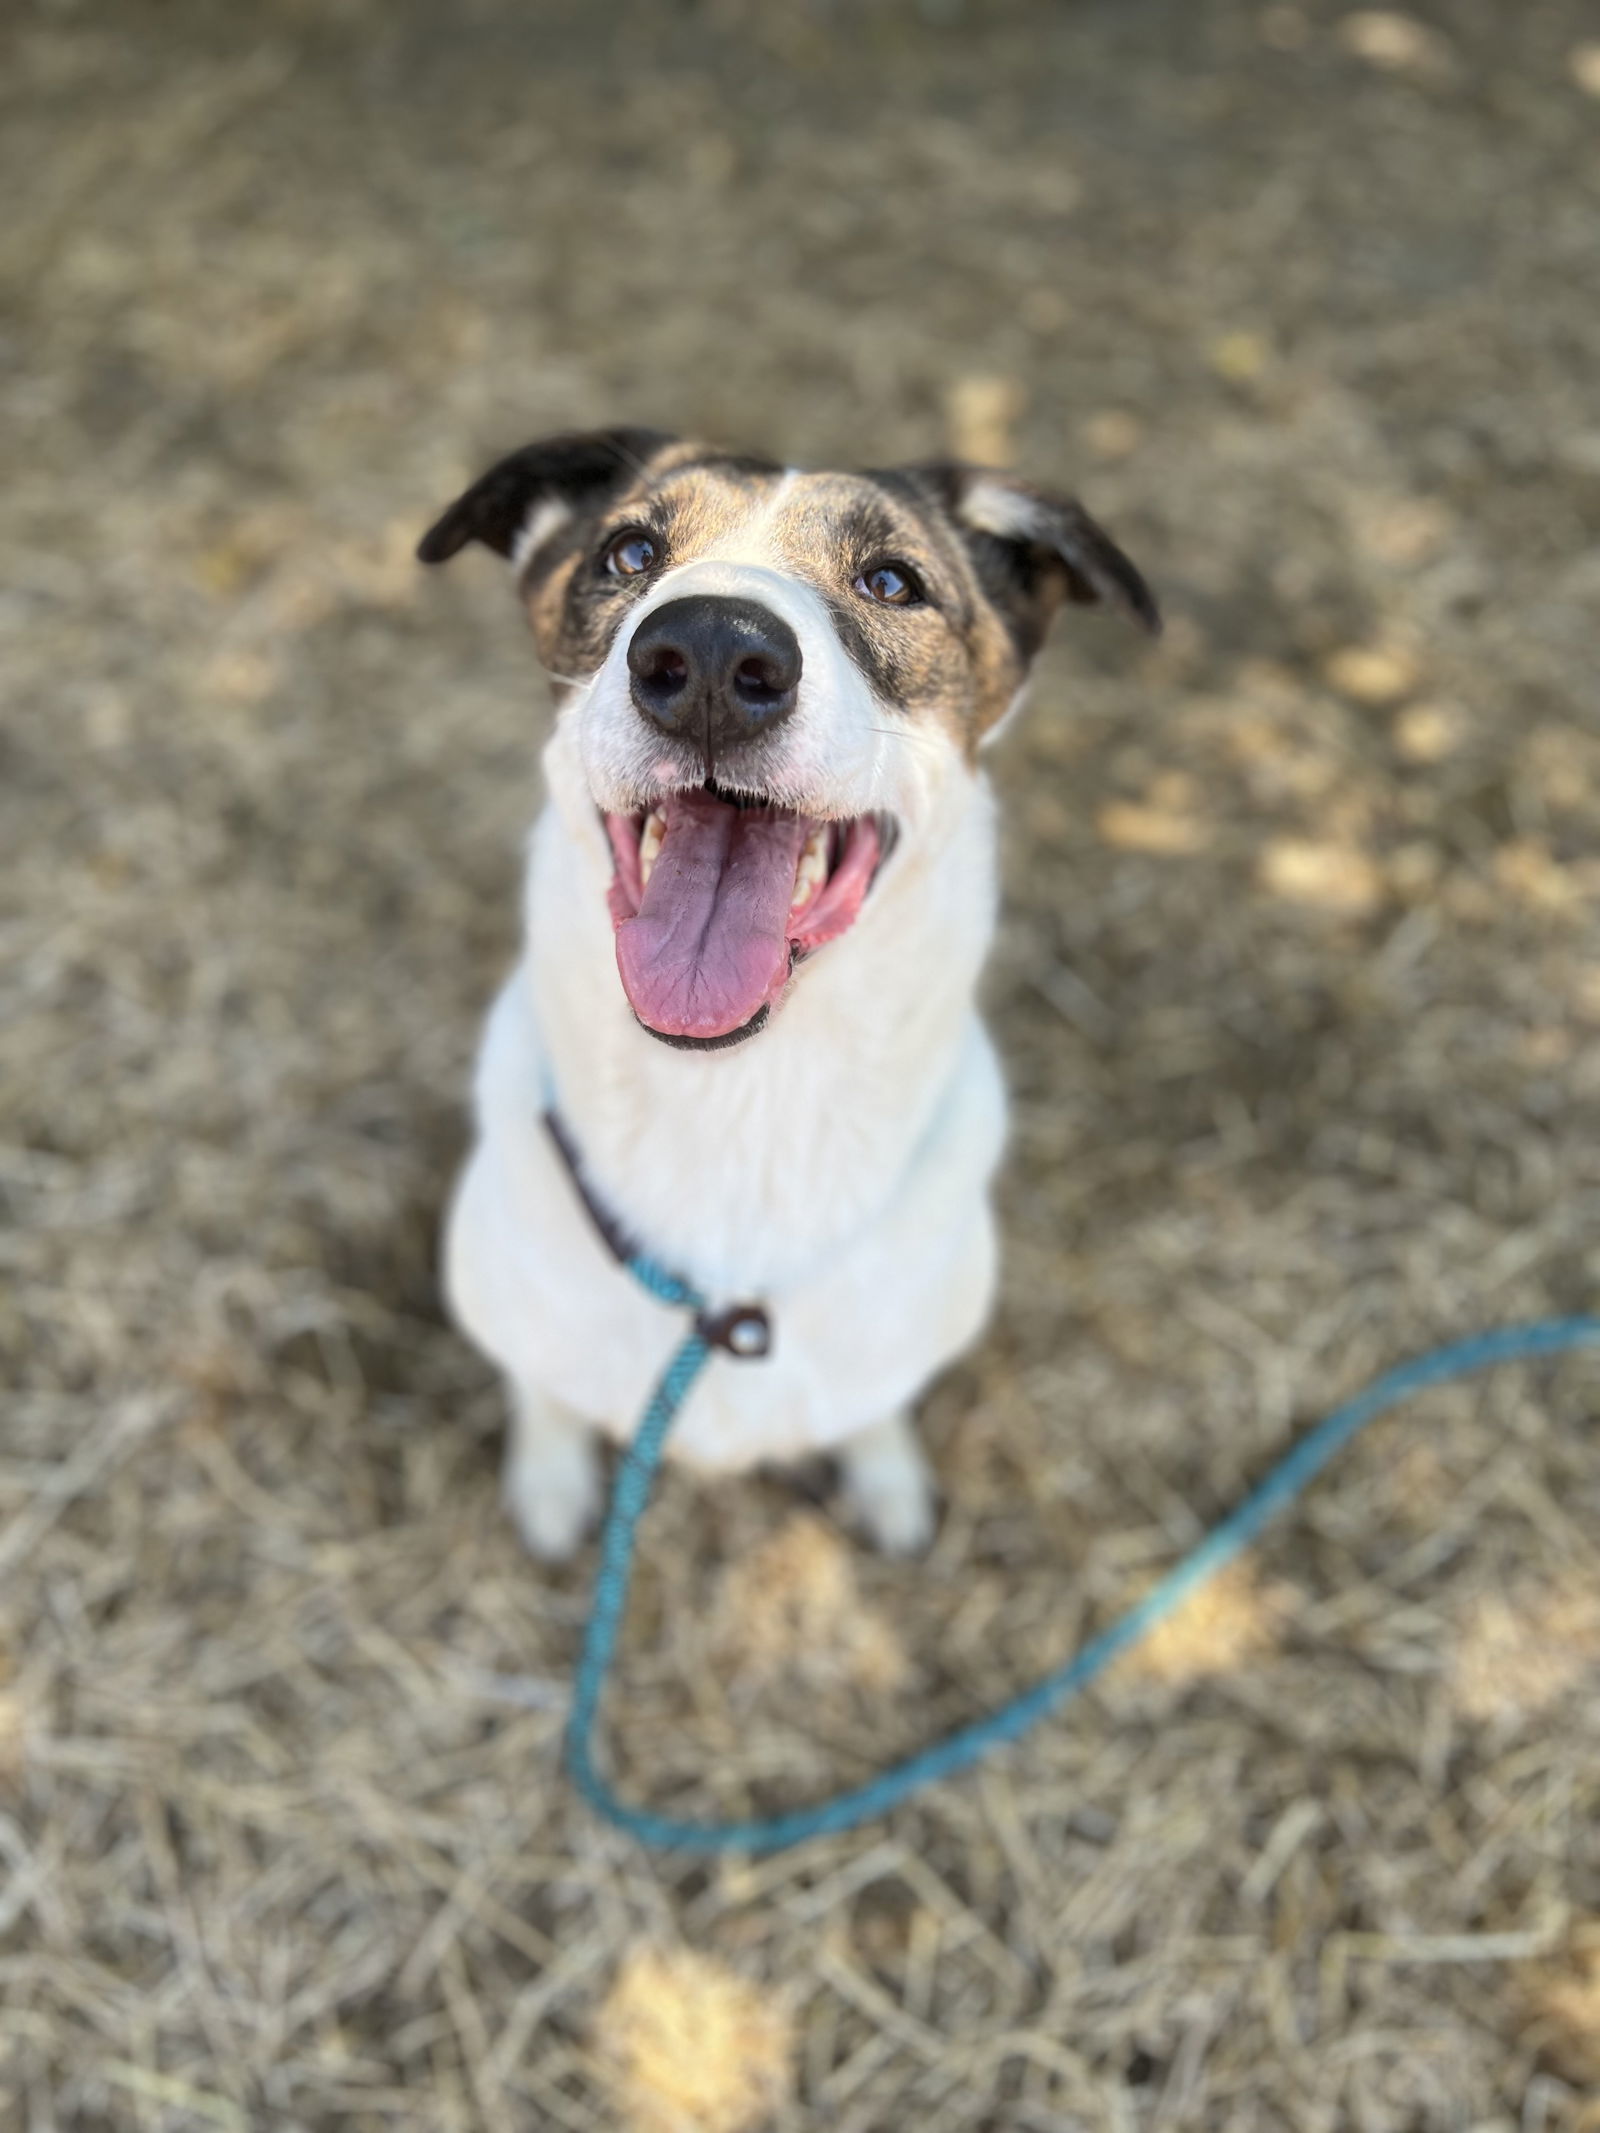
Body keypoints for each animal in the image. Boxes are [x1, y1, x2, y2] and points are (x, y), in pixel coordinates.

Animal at [420, 424, 1160, 1561]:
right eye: (630, 553)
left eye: (891, 580)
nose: (712, 656)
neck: (739, 1106)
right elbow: (543, 1393)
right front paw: (549, 1483)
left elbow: (873, 1407)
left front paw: (886, 1479)